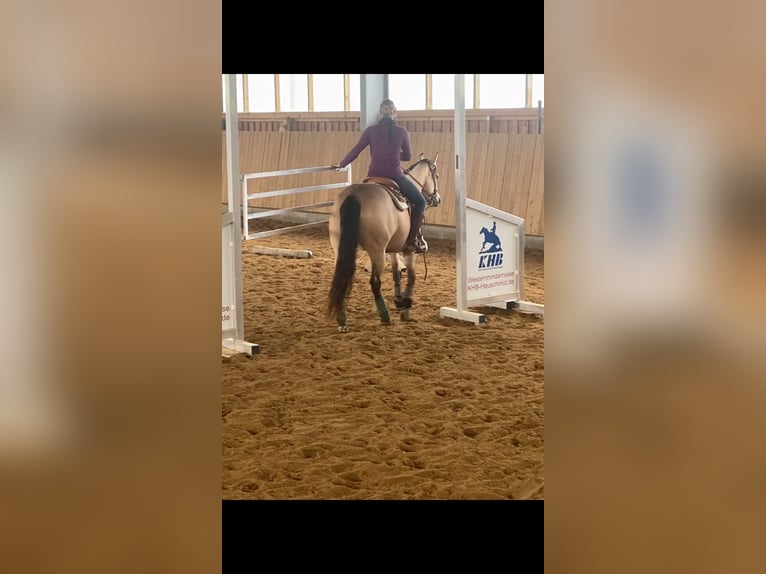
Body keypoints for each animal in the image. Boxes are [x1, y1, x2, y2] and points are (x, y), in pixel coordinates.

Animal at [326, 153, 444, 332]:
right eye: (436, 176)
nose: (437, 199)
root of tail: (354, 195)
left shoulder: (393, 248)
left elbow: (396, 272)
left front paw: (398, 300)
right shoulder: (409, 250)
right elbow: (411, 276)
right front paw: (406, 308)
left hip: (340, 249)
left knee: (341, 279)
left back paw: (342, 321)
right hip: (377, 252)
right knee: (375, 282)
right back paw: (385, 316)